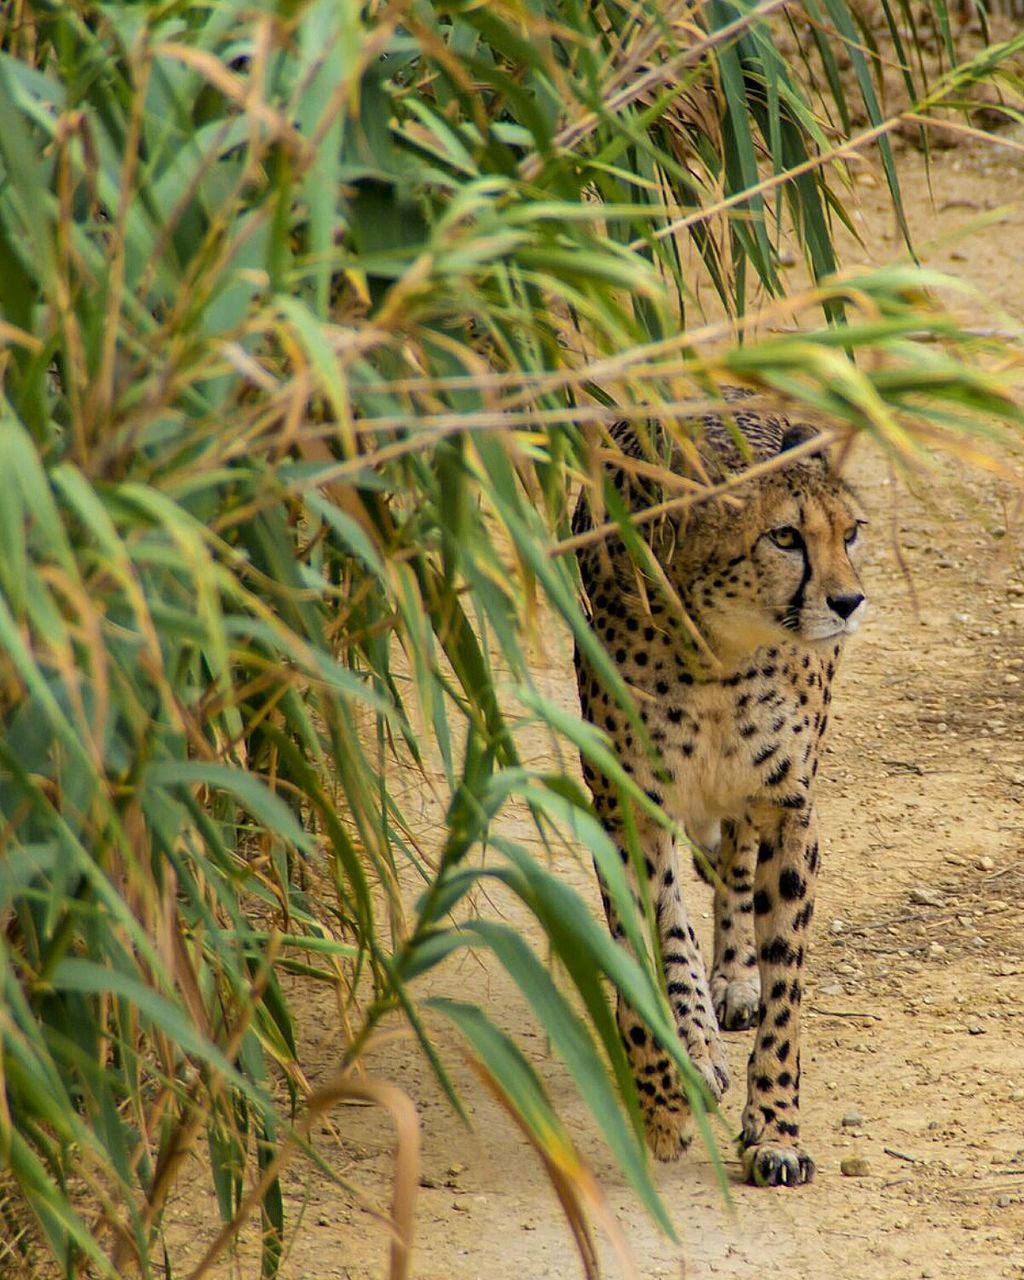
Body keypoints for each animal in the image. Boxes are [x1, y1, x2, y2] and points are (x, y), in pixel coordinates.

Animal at [576, 394, 865, 1182]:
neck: (719, 658)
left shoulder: (792, 810)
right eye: (785, 537)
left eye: (851, 534)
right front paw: (666, 1096)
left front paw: (776, 1129)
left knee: (736, 860)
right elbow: (654, 945)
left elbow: (787, 979)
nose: (850, 601)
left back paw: (735, 976)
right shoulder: (624, 804)